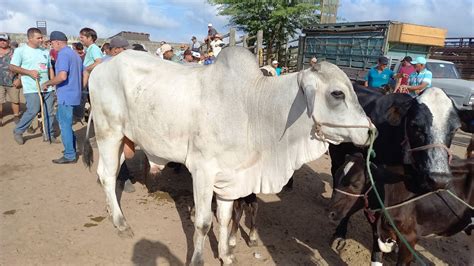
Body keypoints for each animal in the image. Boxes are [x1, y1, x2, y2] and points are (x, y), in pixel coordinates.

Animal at [84, 46, 374, 264]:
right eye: (337, 93)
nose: (371, 131)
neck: (253, 109)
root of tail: (102, 67)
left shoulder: (231, 176)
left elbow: (224, 219)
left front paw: (226, 255)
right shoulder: (202, 170)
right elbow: (203, 223)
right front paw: (198, 260)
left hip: (124, 140)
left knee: (105, 174)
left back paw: (112, 211)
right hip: (108, 133)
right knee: (107, 176)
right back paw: (121, 223)